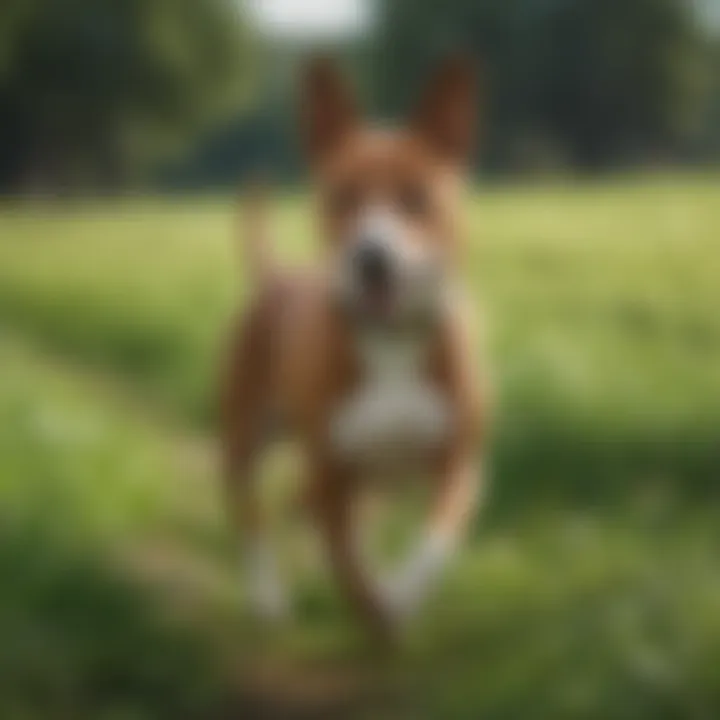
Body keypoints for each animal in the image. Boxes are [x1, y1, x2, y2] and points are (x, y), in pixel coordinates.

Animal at [222, 57, 486, 640]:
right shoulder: (331, 472)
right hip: (247, 433)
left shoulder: (457, 463)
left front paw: (400, 597)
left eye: (416, 197)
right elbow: (348, 567)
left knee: (299, 507)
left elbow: (433, 545)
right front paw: (376, 607)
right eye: (341, 196)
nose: (372, 256)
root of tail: (275, 276)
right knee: (247, 507)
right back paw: (267, 595)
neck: (392, 337)